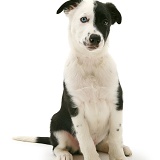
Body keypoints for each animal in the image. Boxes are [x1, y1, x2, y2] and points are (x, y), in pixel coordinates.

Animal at [13, 0, 132, 160]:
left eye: (105, 22)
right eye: (84, 19)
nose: (95, 38)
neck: (90, 62)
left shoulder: (116, 103)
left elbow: (116, 136)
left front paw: (118, 155)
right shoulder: (76, 108)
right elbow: (85, 140)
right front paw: (92, 158)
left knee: (102, 144)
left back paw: (122, 148)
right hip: (56, 123)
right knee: (57, 147)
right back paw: (64, 154)